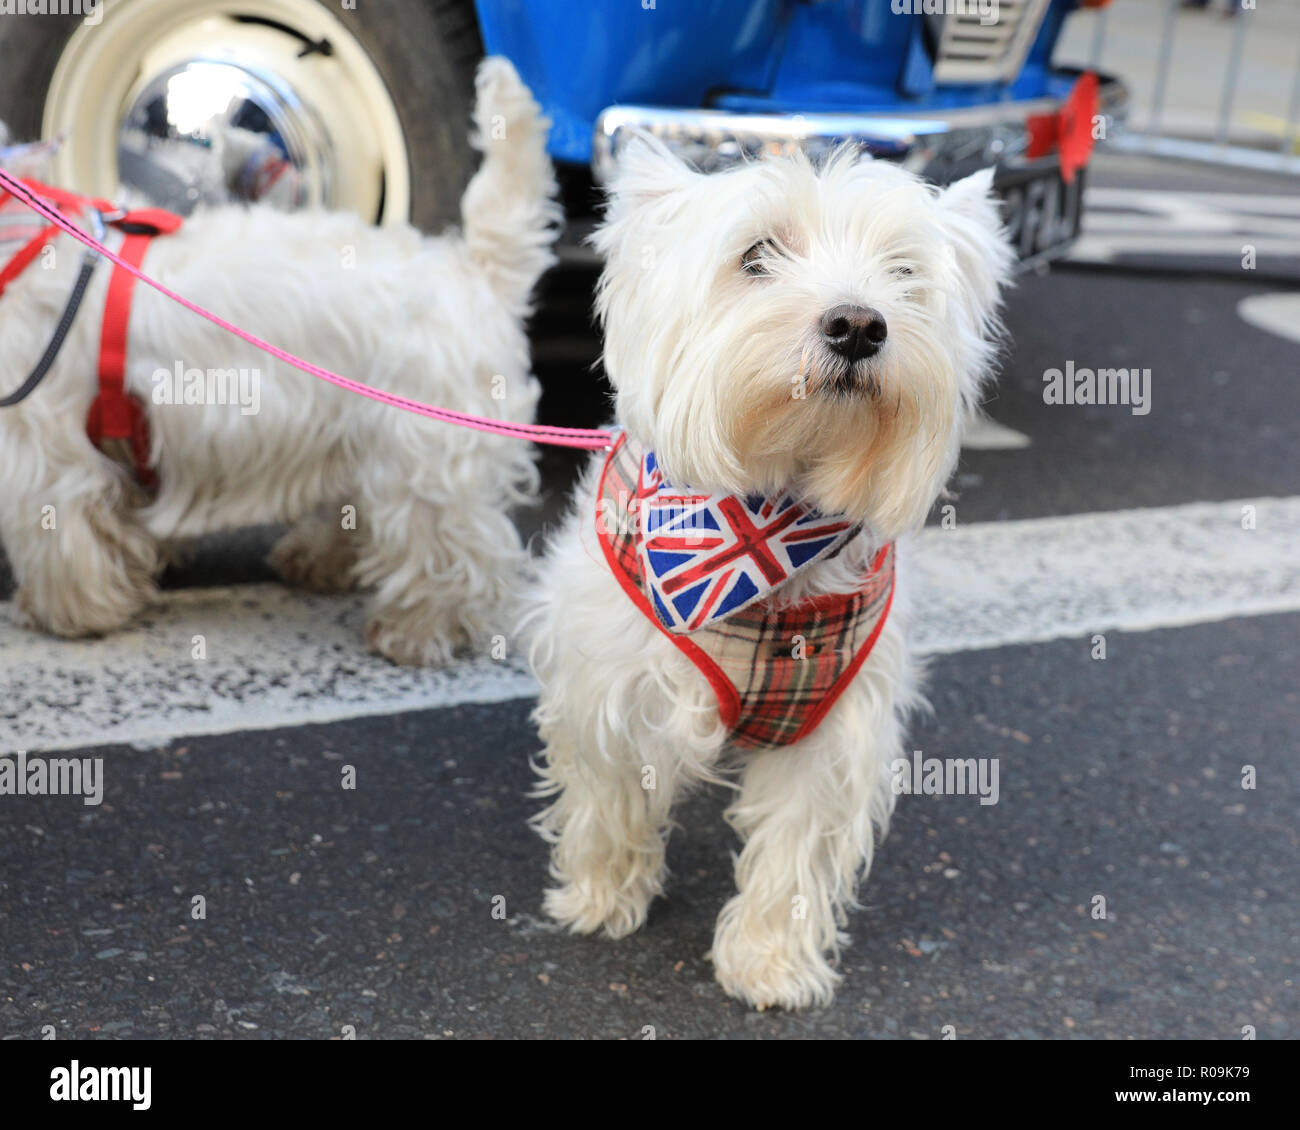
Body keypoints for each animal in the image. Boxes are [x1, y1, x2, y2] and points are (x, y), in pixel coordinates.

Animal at [0, 55, 559, 660]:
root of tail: (474, 268)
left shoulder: (44, 448)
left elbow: (62, 539)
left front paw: (64, 613)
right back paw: (317, 560)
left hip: (421, 450)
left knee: (451, 548)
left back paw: (418, 630)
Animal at [527, 136, 1013, 1009]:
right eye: (756, 255)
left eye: (904, 271)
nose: (858, 324)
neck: (772, 524)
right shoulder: (607, 684)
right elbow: (608, 792)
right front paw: (599, 897)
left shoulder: (831, 728)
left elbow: (793, 846)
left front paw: (769, 965)